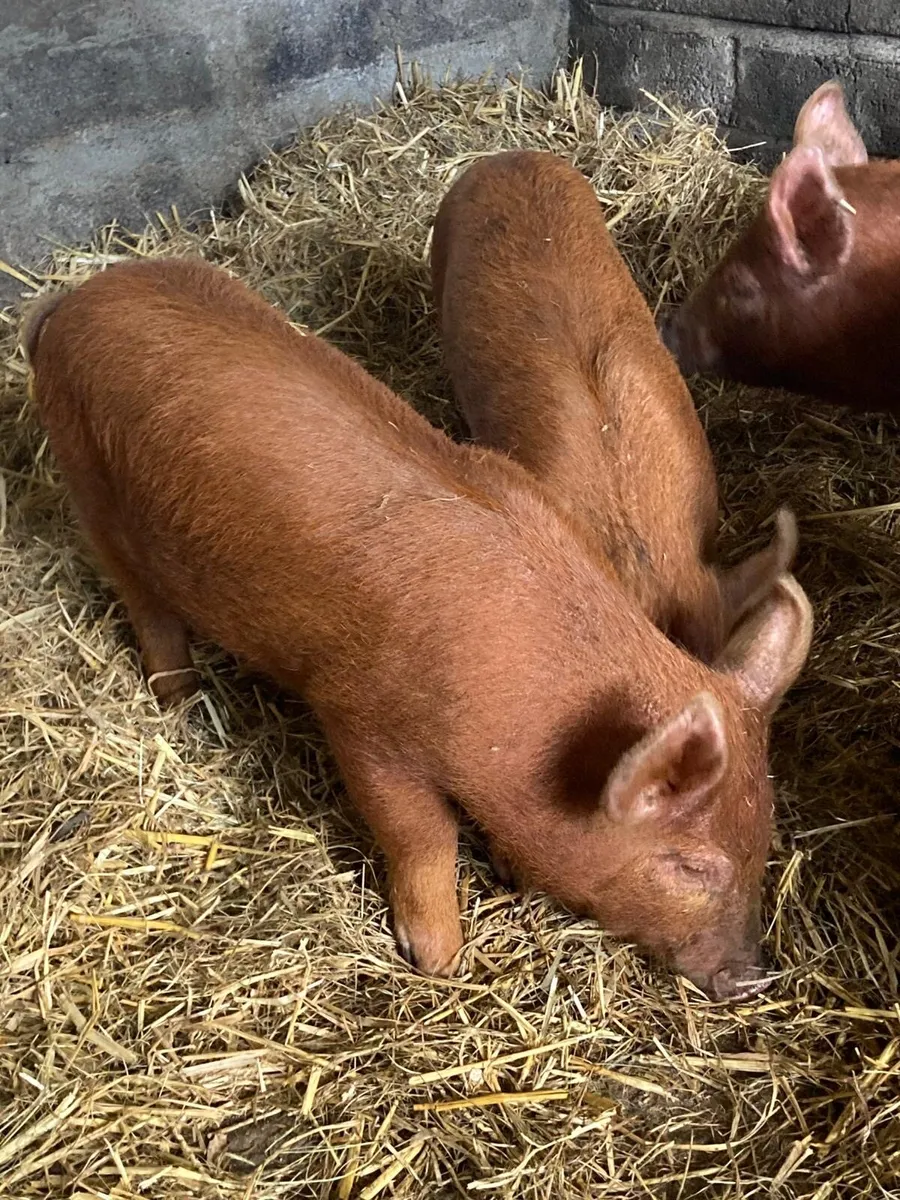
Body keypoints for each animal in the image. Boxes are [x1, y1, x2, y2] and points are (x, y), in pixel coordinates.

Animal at [23, 257, 812, 999]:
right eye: (692, 865)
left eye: (761, 842)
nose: (756, 978)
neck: (534, 716)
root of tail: (72, 303)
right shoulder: (362, 723)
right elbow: (421, 837)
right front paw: (440, 962)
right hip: (88, 483)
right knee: (143, 601)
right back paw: (178, 696)